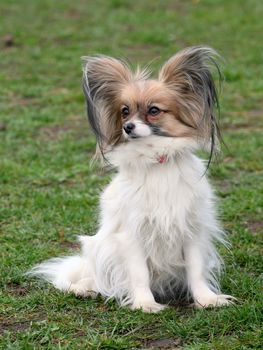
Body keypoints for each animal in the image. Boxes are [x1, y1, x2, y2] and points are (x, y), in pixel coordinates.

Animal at [29, 45, 236, 312]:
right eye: (124, 111)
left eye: (154, 110)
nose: (127, 127)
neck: (156, 160)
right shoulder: (131, 234)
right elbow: (139, 274)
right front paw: (145, 304)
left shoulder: (191, 229)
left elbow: (196, 269)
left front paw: (207, 299)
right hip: (101, 248)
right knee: (97, 277)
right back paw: (84, 288)